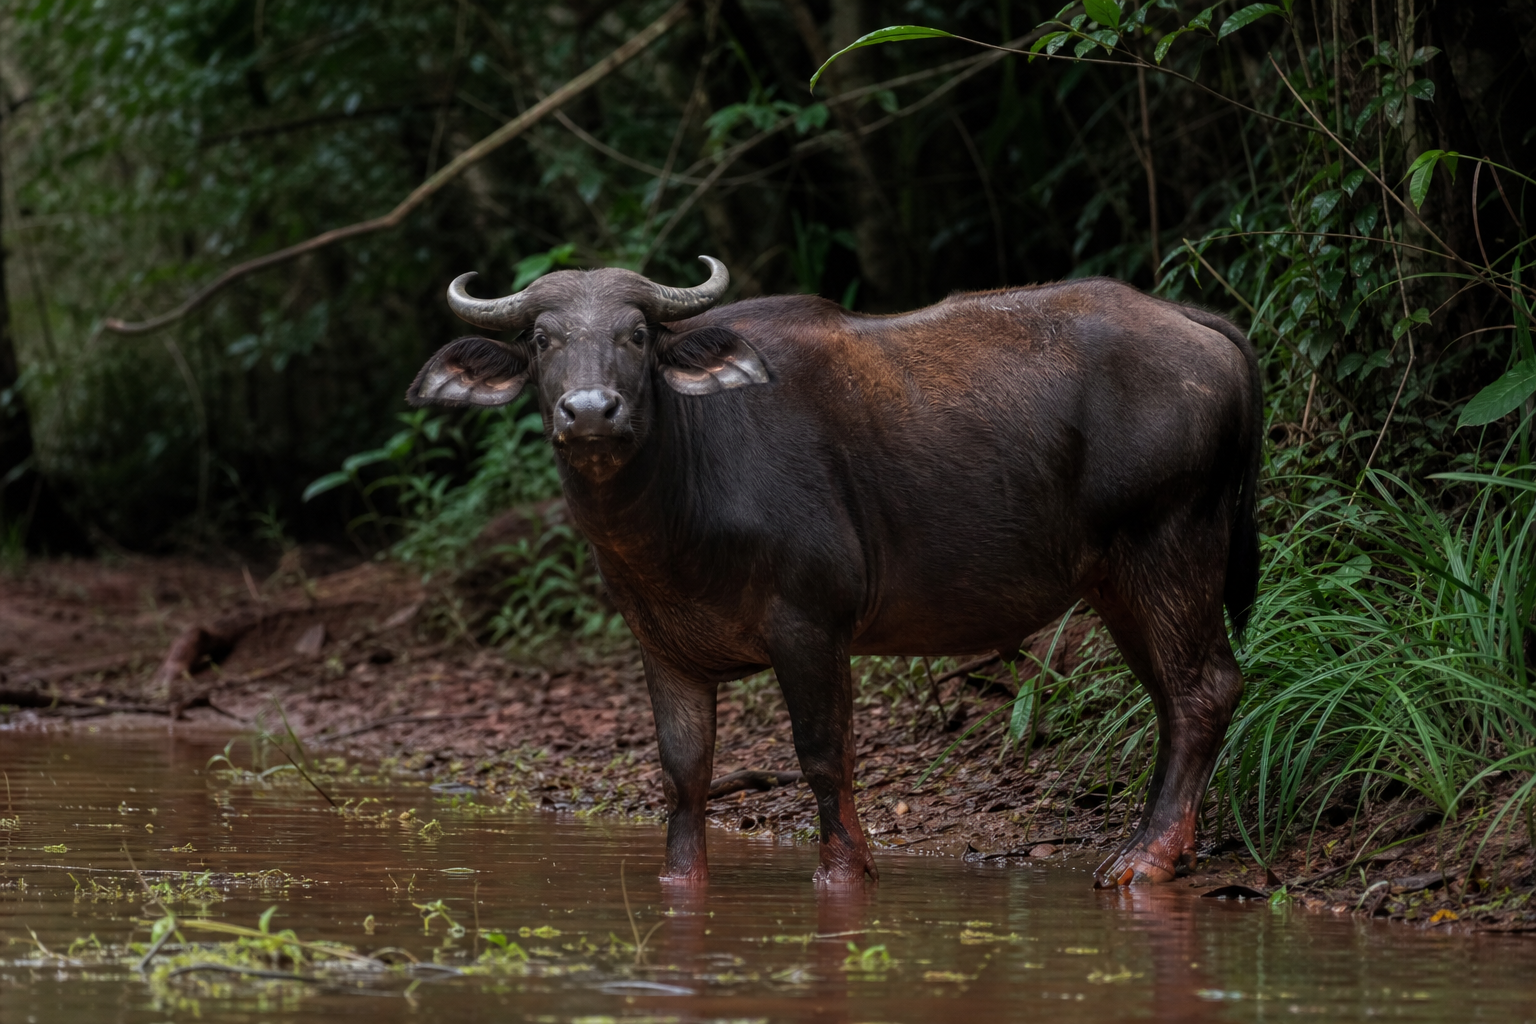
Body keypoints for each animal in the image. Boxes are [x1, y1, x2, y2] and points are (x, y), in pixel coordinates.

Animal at [408, 256, 1261, 887]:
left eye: (638, 334)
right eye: (542, 338)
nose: (590, 411)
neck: (683, 497)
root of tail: (1196, 321)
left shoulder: (810, 623)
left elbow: (825, 753)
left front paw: (844, 872)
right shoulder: (663, 647)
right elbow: (684, 772)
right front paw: (682, 881)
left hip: (1172, 541)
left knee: (1204, 688)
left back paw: (1144, 860)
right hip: (1119, 580)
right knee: (1171, 697)